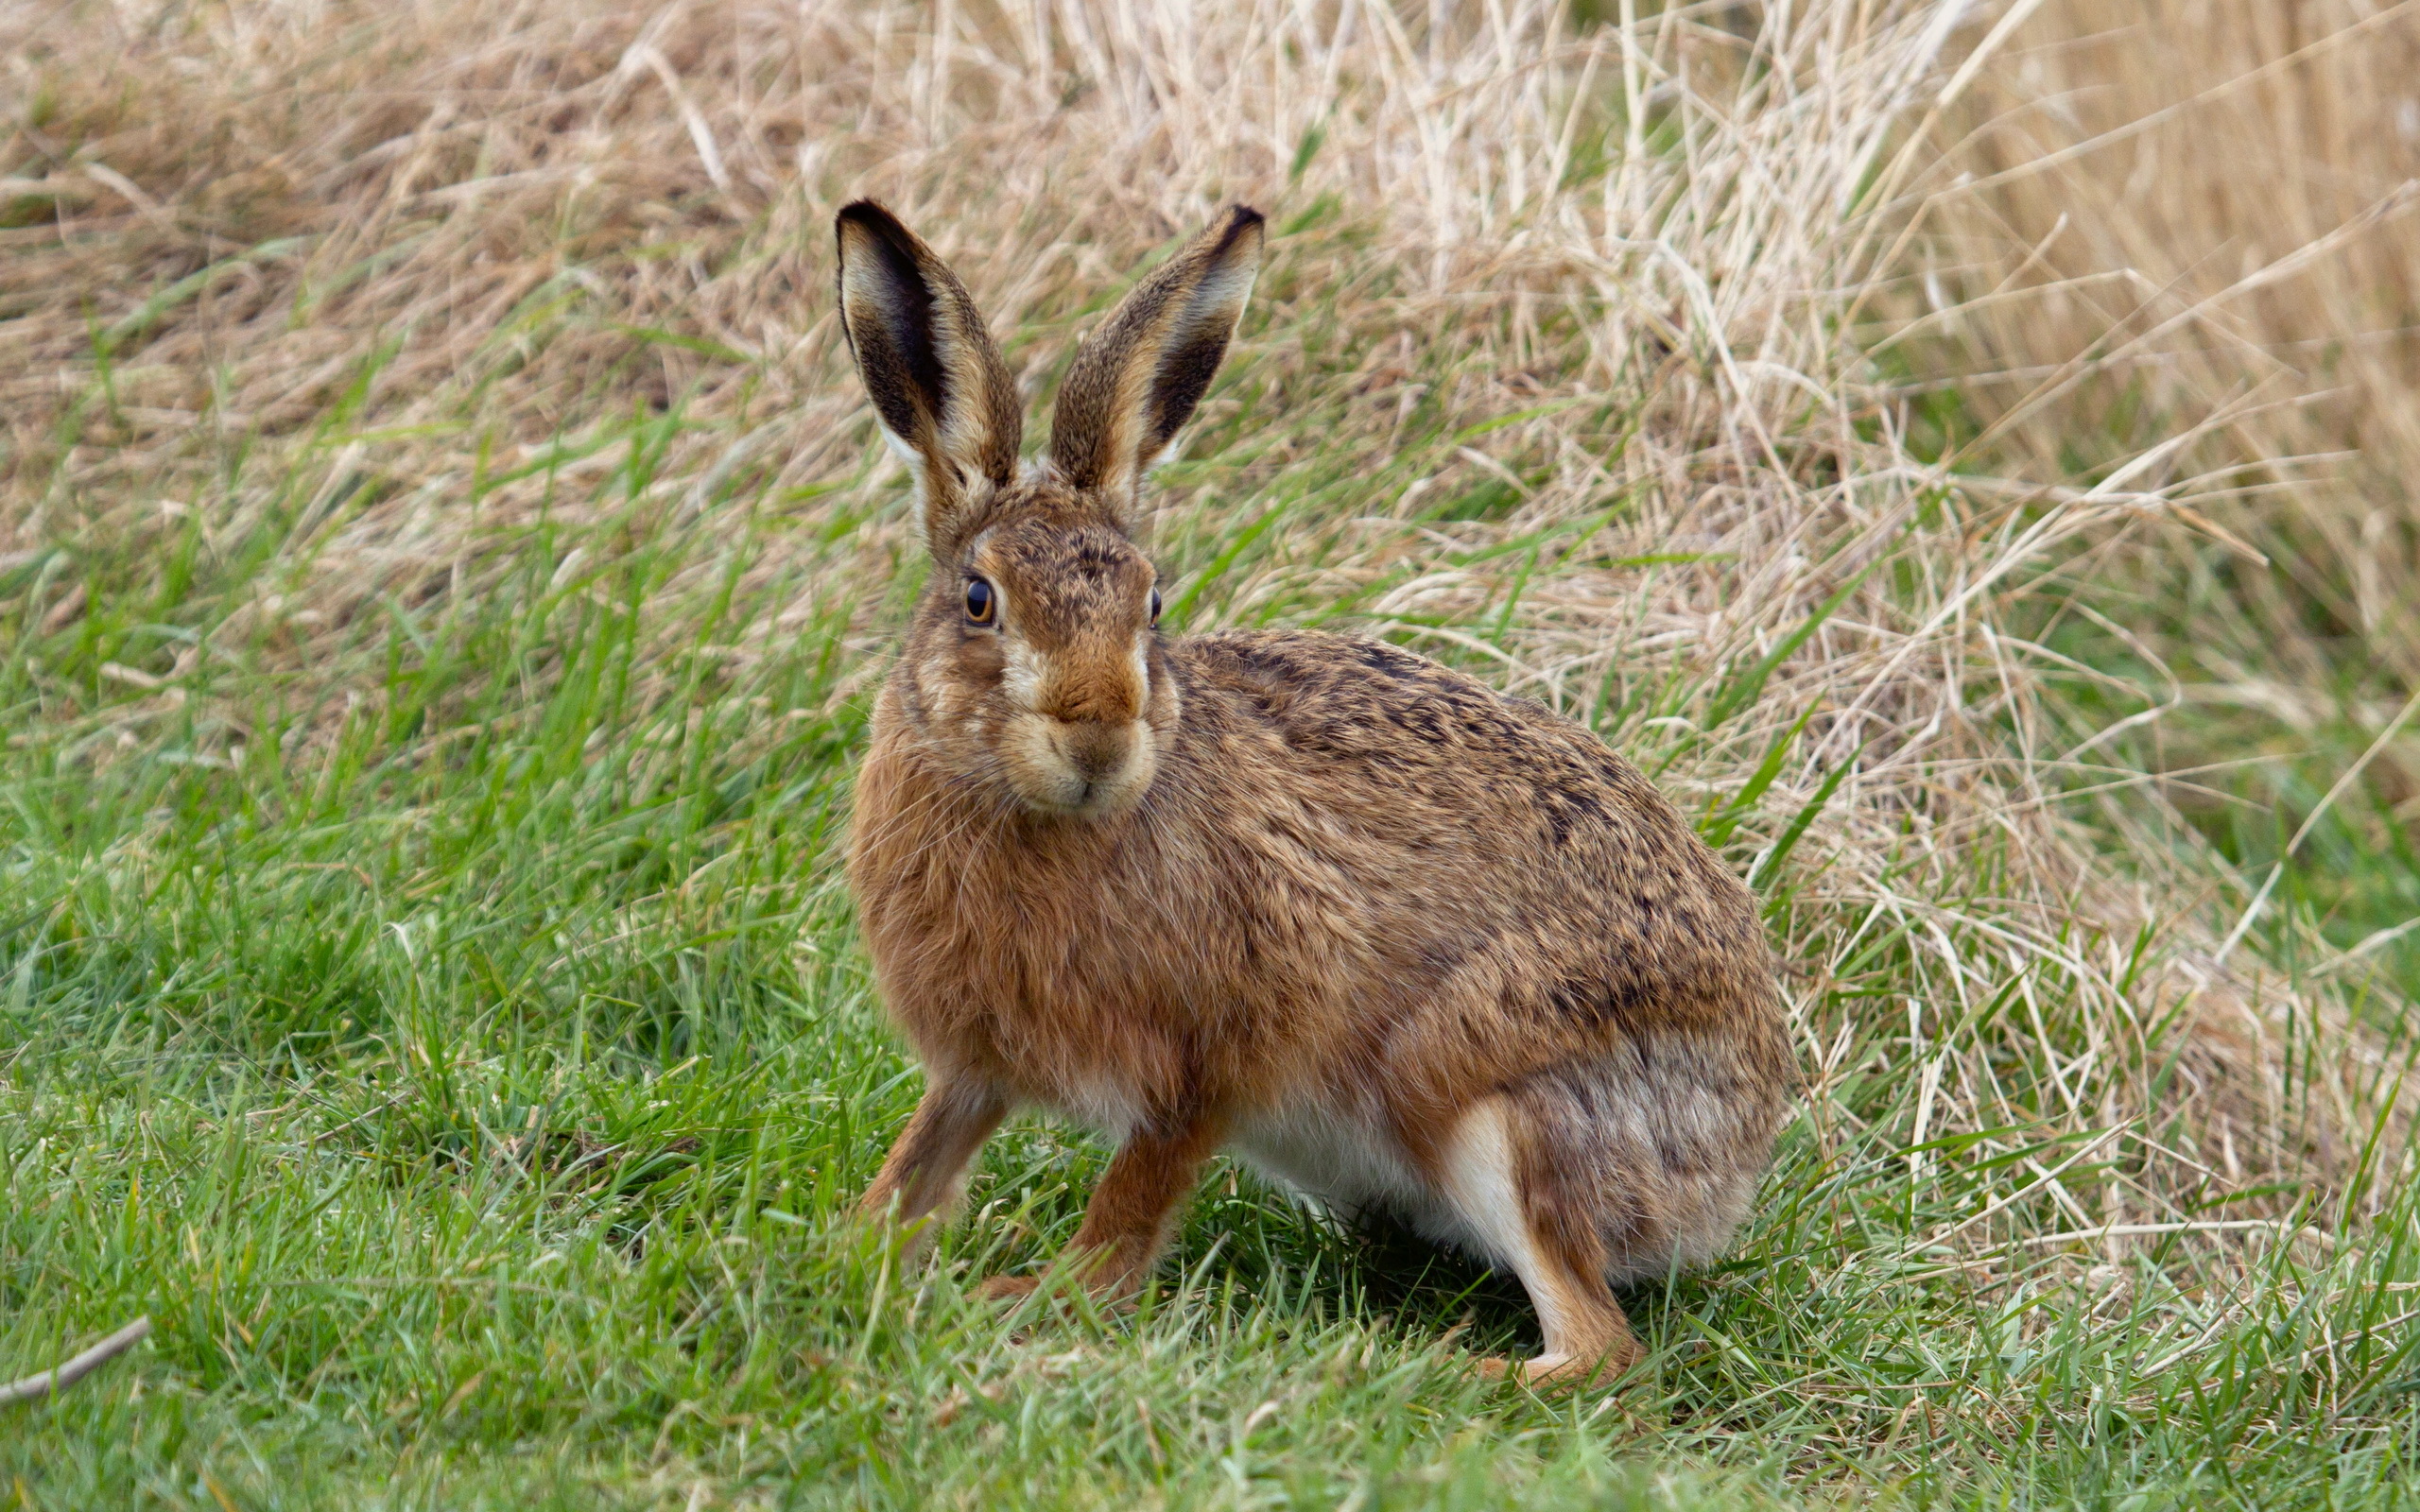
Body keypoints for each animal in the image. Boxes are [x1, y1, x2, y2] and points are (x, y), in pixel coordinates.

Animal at [835, 198, 1793, 1389]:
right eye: (979, 600)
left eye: (1153, 605)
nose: (1097, 734)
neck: (1041, 811)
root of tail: (1740, 1154)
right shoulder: (977, 1063)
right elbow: (925, 1157)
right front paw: (849, 1246)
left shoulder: (1222, 1048)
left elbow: (1134, 1195)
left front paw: (1044, 1299)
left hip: (1494, 1106)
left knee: (1594, 1346)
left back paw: (1398, 1367)